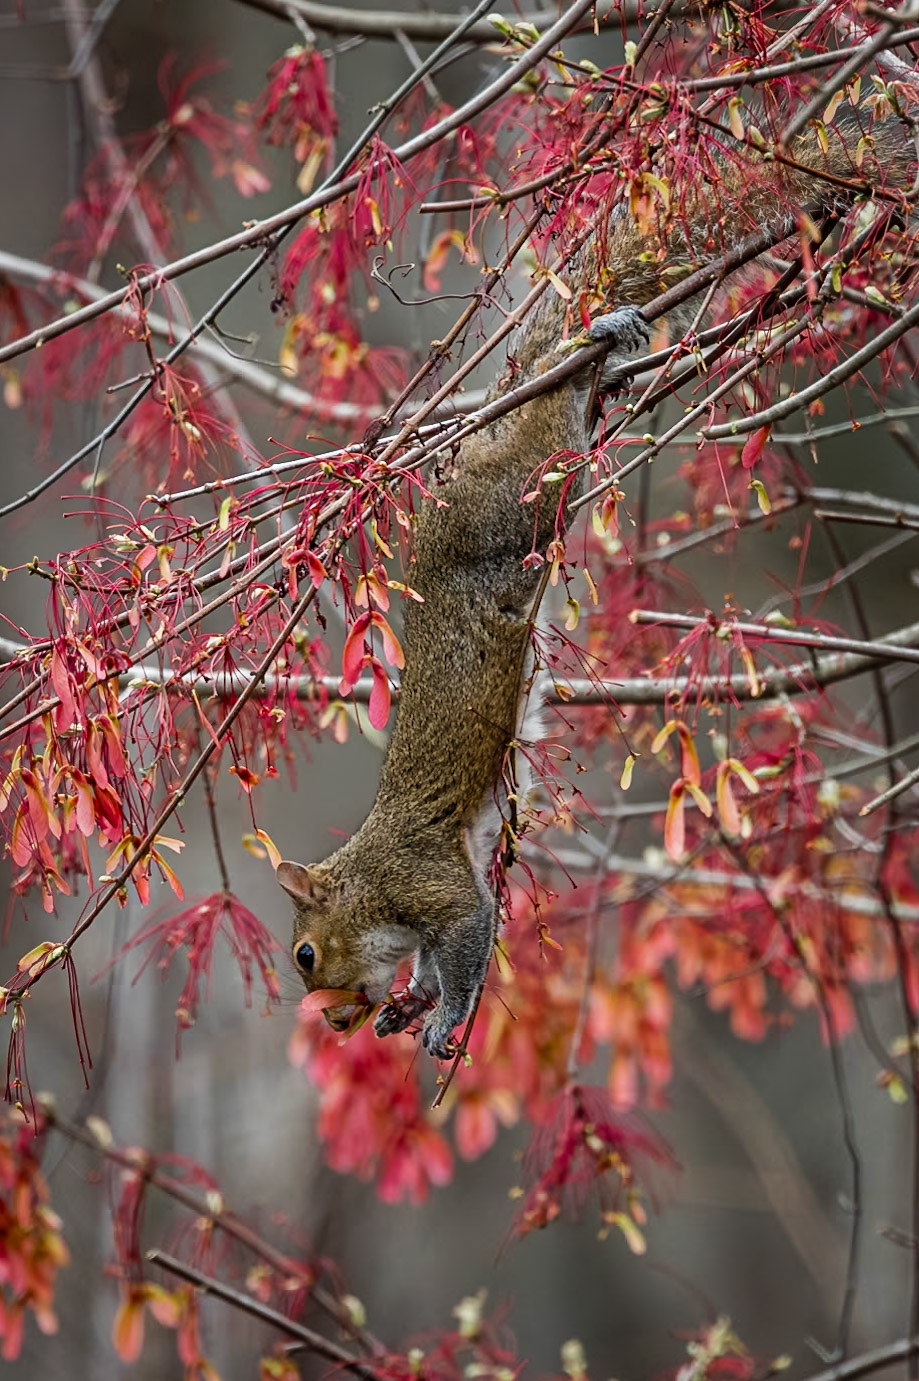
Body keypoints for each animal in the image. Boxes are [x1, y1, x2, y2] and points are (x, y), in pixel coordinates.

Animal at [278, 102, 915, 1059]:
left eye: (308, 954)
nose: (339, 1019)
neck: (368, 877)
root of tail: (485, 441)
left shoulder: (428, 883)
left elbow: (463, 939)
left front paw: (444, 1016)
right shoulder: (456, 871)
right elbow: (442, 948)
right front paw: (409, 1003)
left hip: (516, 503)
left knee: (548, 443)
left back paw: (596, 353)